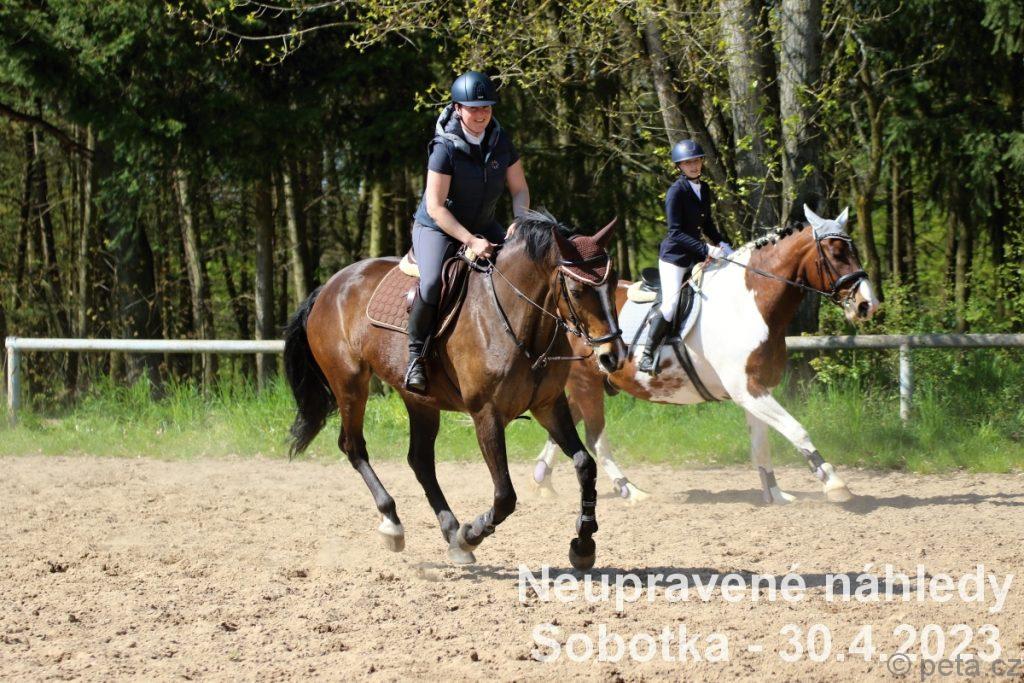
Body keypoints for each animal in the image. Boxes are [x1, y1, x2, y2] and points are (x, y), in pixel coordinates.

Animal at [283, 211, 627, 569]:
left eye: (613, 284)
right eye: (577, 289)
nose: (612, 356)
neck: (519, 321)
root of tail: (329, 286)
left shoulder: (549, 405)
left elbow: (585, 466)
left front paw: (584, 543)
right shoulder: (486, 414)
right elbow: (505, 495)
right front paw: (471, 533)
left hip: (419, 400)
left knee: (419, 460)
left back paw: (449, 531)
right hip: (350, 383)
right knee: (354, 447)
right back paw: (394, 523)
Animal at [531, 206, 881, 505]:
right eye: (836, 253)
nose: (868, 304)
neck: (749, 304)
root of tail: (559, 312)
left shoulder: (755, 390)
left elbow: (761, 446)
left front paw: (774, 494)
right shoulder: (747, 389)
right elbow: (797, 430)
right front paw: (835, 484)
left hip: (588, 383)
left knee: (563, 428)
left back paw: (542, 482)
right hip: (586, 383)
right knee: (595, 438)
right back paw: (630, 490)